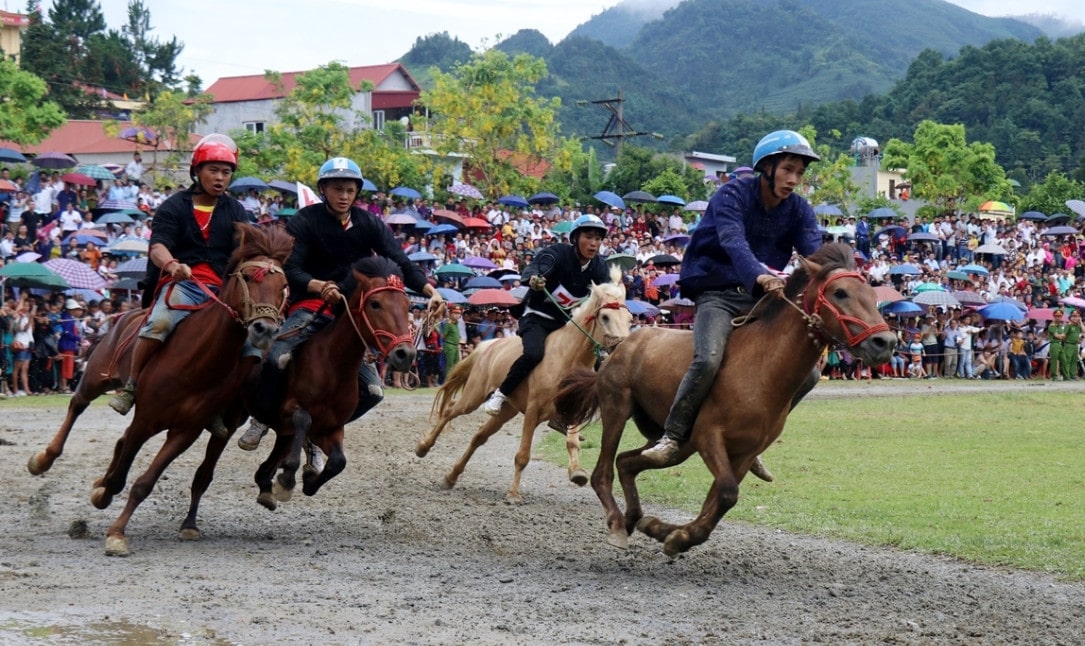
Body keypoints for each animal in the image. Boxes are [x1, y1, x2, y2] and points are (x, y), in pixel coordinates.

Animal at [80, 224, 292, 560]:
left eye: (283, 286)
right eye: (247, 278)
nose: (265, 329)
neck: (195, 363)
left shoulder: (185, 431)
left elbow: (145, 482)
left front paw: (116, 529)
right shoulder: (146, 419)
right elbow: (123, 472)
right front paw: (108, 507)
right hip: (95, 376)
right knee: (78, 405)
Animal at [252, 254, 414, 510]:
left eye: (408, 306)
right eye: (375, 304)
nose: (405, 354)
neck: (332, 365)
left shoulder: (331, 428)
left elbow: (339, 461)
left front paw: (308, 480)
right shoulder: (288, 410)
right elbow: (303, 418)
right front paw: (287, 478)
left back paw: (267, 483)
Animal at [414, 269, 633, 505]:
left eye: (630, 319)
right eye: (605, 317)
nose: (624, 350)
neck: (567, 358)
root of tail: (488, 346)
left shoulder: (574, 409)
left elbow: (572, 443)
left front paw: (577, 472)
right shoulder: (533, 410)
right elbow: (523, 455)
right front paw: (513, 493)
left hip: (506, 410)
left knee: (478, 437)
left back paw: (451, 476)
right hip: (474, 395)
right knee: (450, 410)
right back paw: (423, 448)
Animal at [555, 245, 894, 560]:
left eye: (872, 294)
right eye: (840, 292)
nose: (886, 343)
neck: (761, 369)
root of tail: (621, 346)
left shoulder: (744, 453)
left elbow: (717, 502)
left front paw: (668, 532)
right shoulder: (709, 438)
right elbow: (728, 494)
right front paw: (674, 535)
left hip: (673, 444)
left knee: (627, 462)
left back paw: (633, 518)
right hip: (617, 409)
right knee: (603, 472)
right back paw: (616, 523)